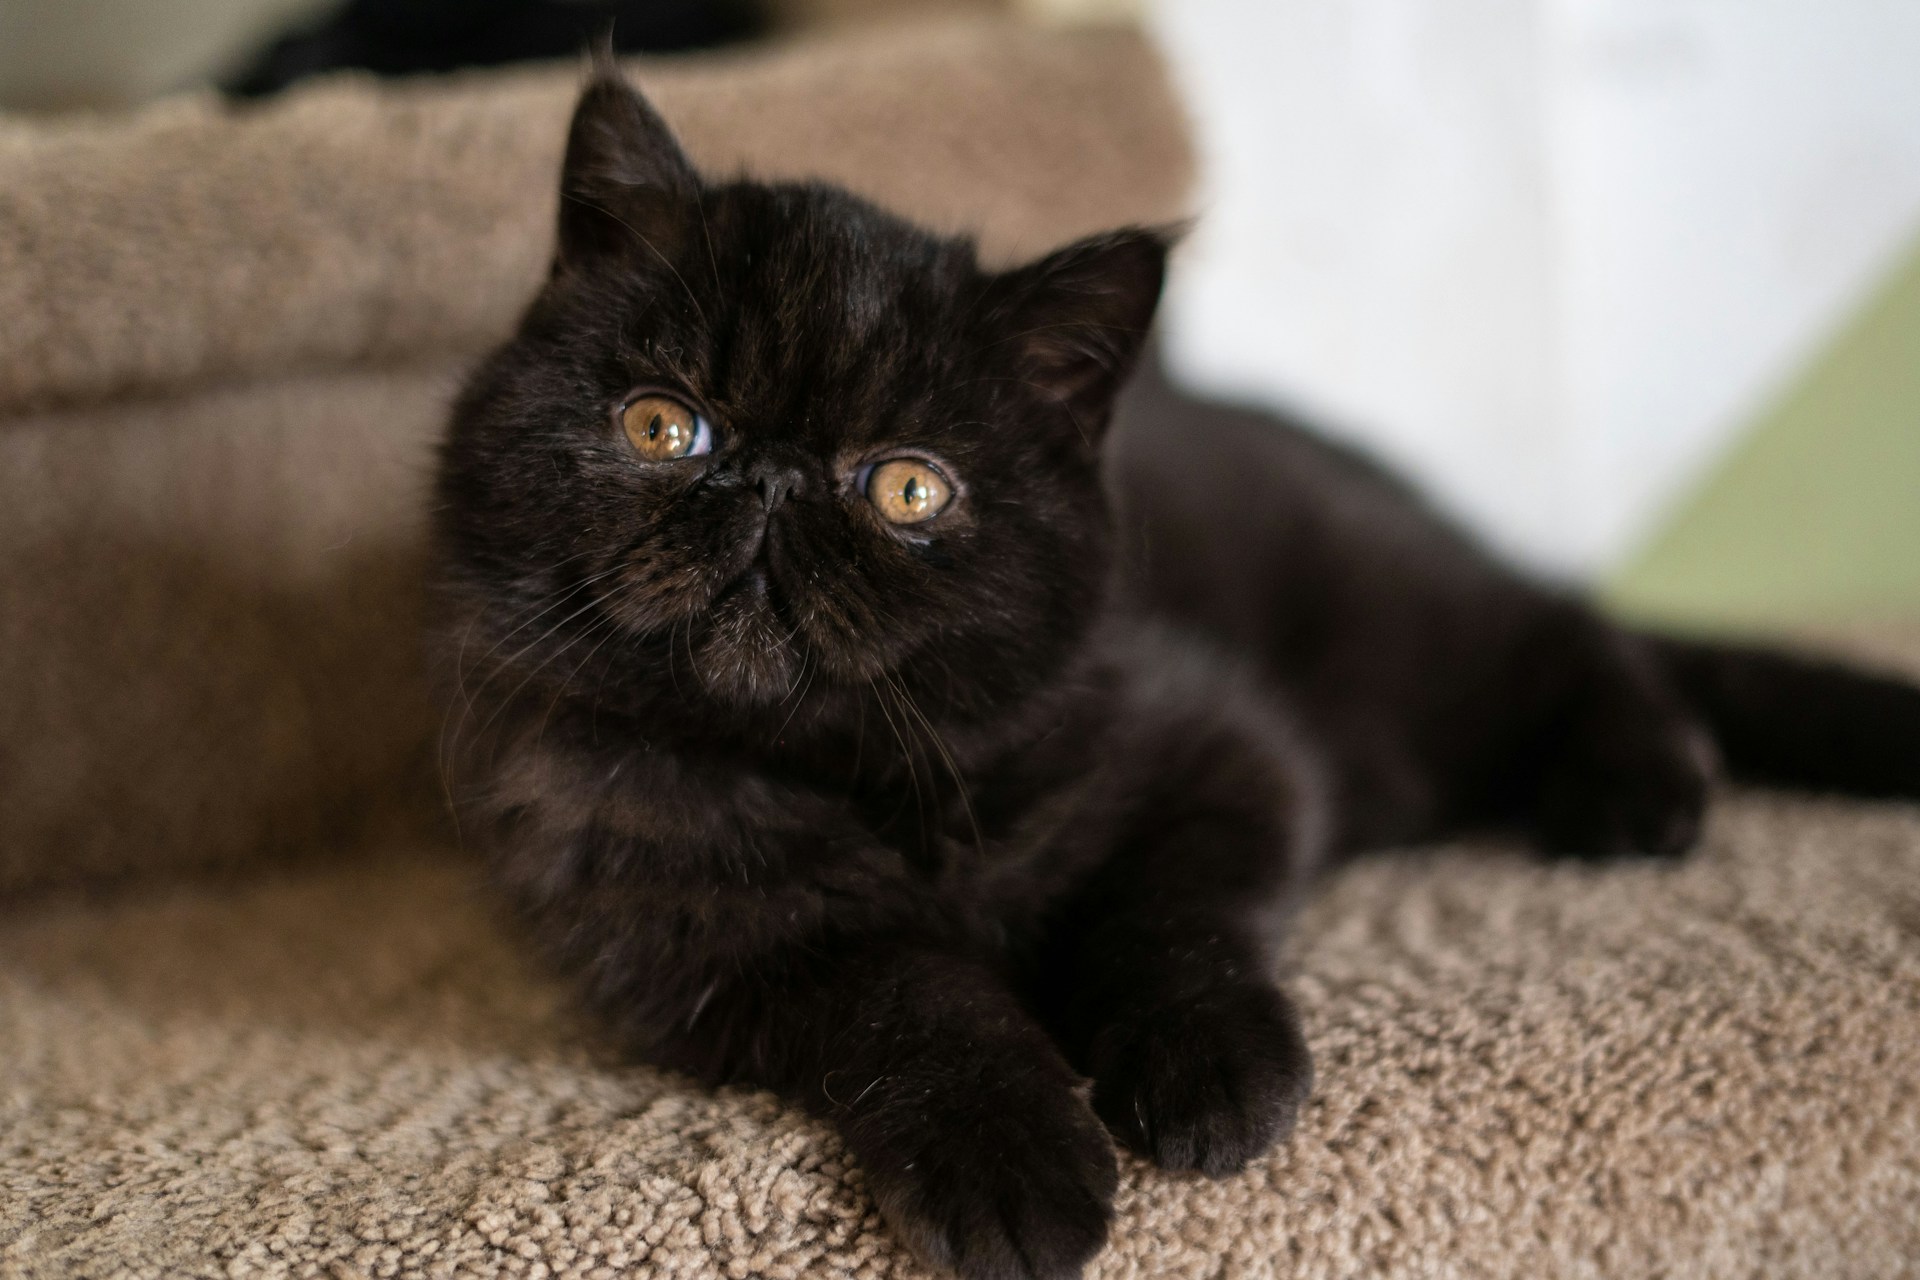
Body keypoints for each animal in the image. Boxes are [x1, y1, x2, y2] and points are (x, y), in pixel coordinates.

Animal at [432, 70, 1920, 1280]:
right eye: (661, 426)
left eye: (910, 487)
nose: (771, 482)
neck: (857, 778)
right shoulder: (691, 948)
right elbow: (902, 993)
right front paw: (1012, 1164)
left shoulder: (1217, 744)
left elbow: (1173, 911)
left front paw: (1212, 1078)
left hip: (1402, 629)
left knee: (1574, 632)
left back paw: (1634, 792)